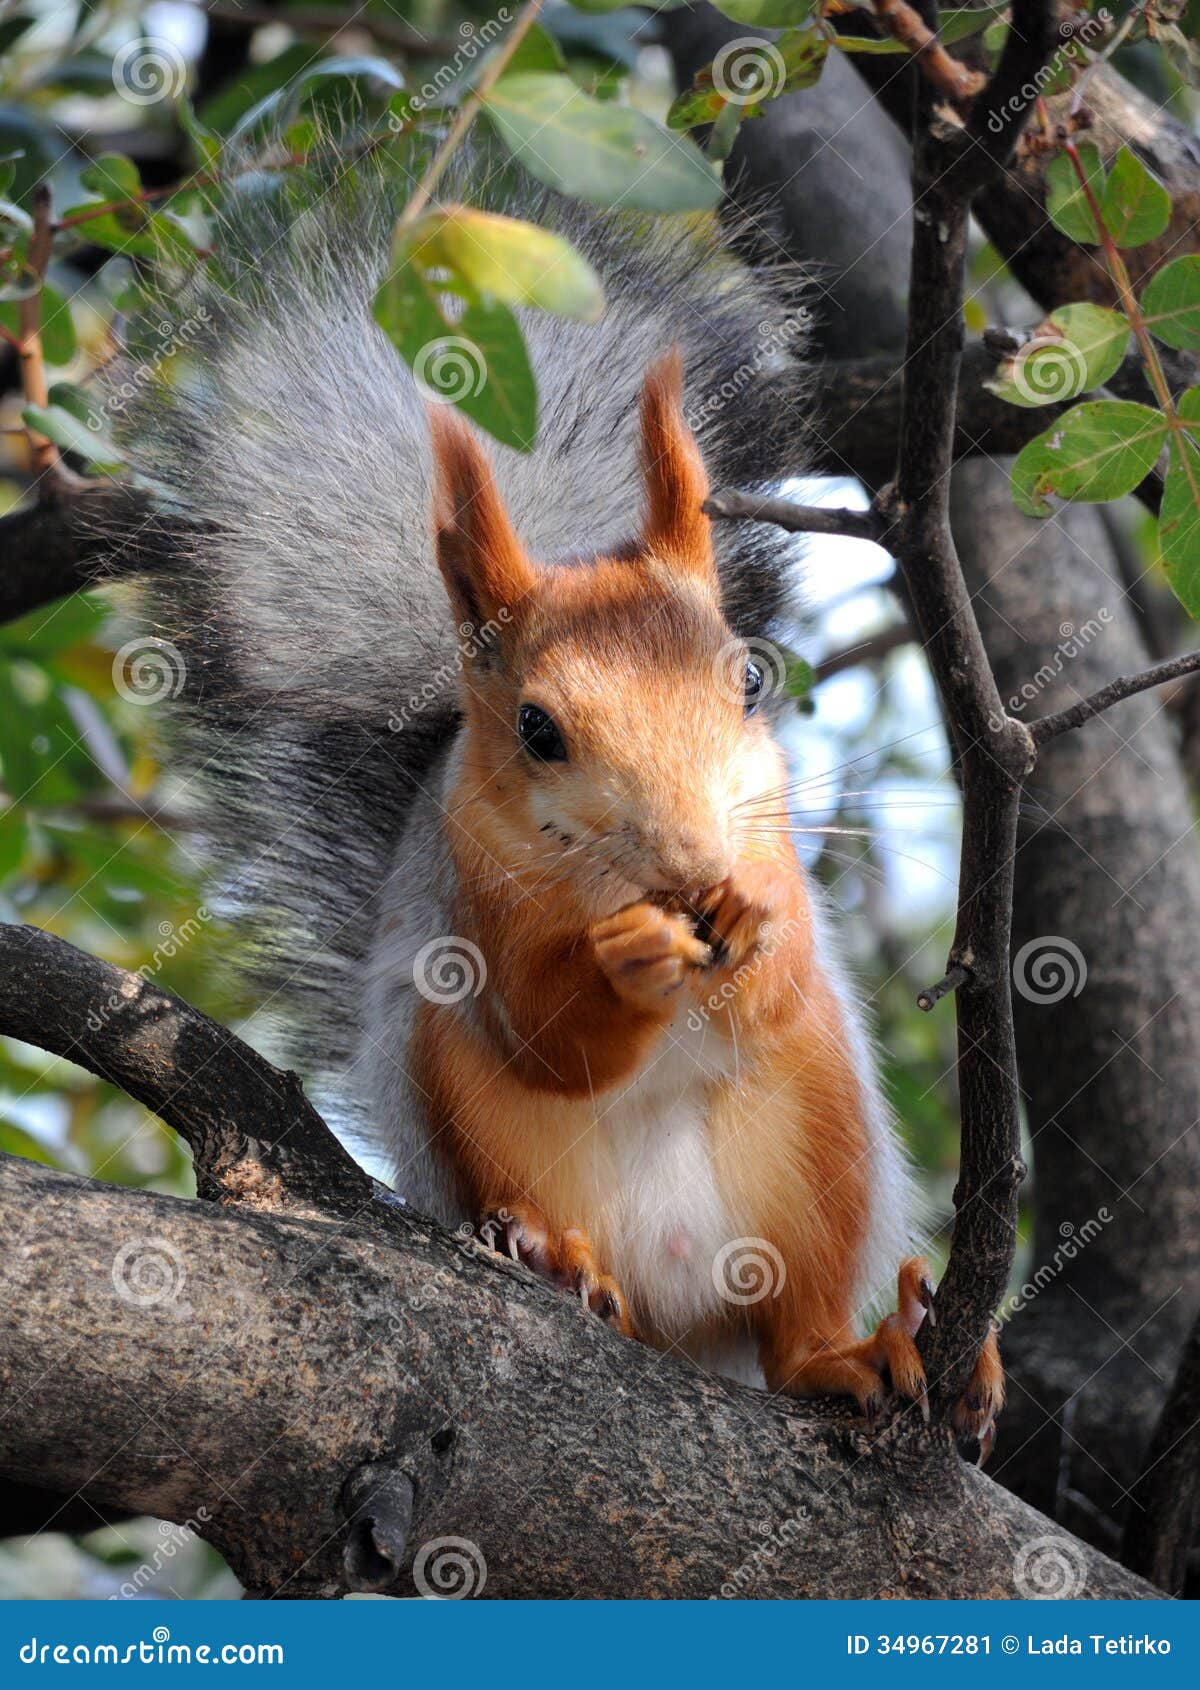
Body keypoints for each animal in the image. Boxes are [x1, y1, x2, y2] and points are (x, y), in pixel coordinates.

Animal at [108, 162, 1002, 1438]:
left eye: (749, 680)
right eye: (538, 730)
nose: (689, 864)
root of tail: (685, 1308)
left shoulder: (771, 839)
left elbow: (775, 979)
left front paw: (752, 917)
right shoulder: (471, 894)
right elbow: (546, 1031)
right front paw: (625, 961)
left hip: (815, 1135)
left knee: (795, 1323)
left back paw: (868, 1348)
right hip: (469, 1102)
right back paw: (558, 1264)